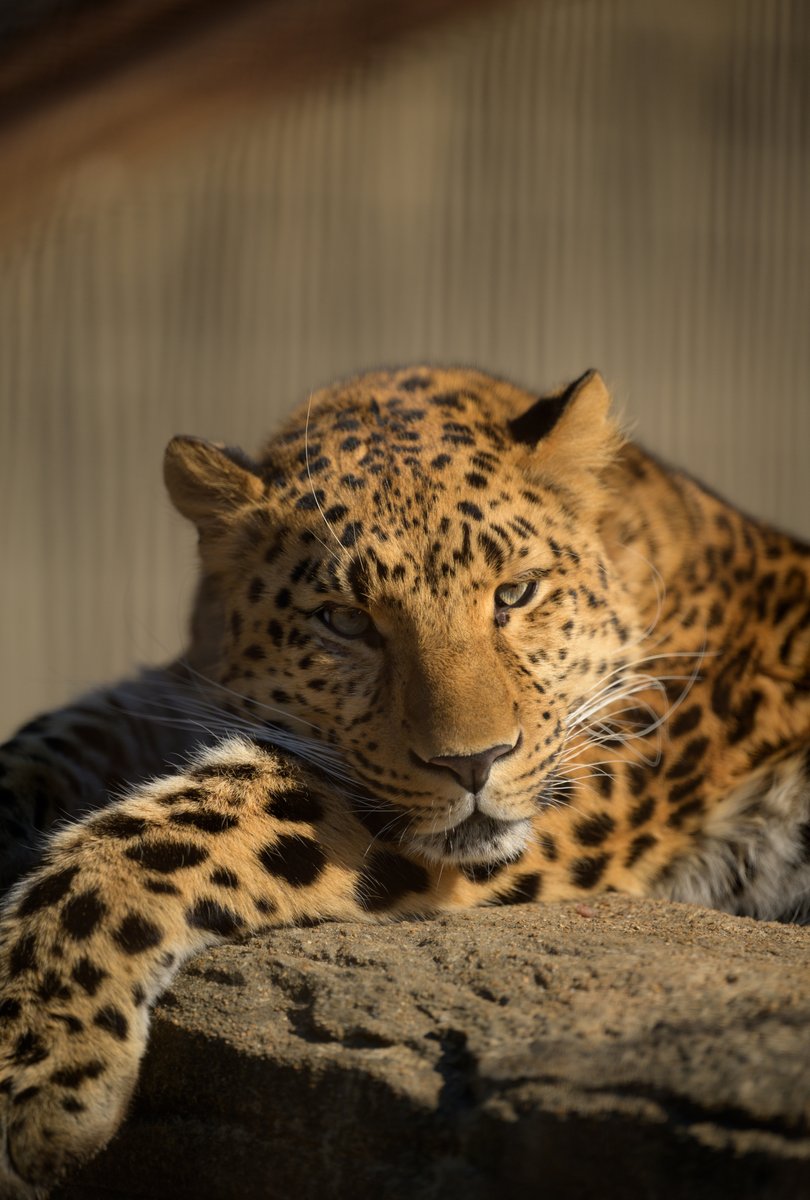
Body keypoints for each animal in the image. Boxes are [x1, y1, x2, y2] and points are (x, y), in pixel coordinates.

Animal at [0, 365, 808, 1197]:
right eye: (345, 621)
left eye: (515, 594)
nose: (473, 762)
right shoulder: (175, 690)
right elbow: (63, 732)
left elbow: (182, 826)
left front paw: (42, 1071)